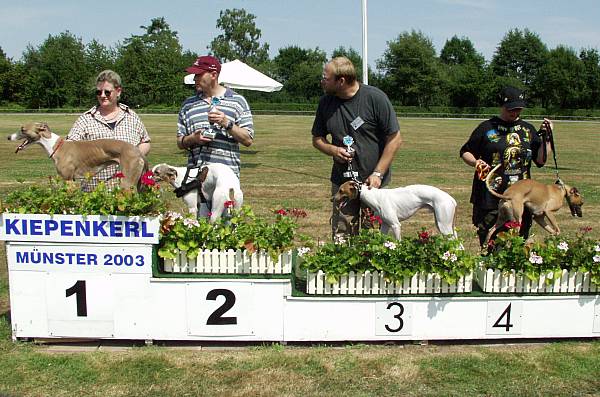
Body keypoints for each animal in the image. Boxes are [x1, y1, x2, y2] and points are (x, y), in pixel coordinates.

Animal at [9, 120, 146, 190]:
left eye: (22, 129)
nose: (8, 137)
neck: (56, 146)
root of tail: (137, 151)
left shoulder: (68, 180)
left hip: (127, 182)